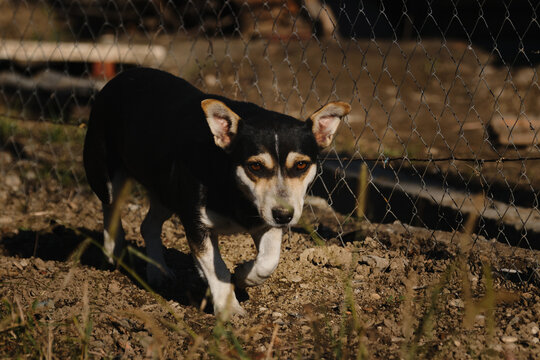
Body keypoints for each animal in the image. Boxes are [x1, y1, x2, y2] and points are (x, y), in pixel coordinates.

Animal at [84, 67, 350, 318]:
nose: (284, 216)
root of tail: (124, 75)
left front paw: (243, 275)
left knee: (148, 225)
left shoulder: (265, 221)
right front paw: (229, 307)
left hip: (167, 193)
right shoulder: (196, 225)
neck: (234, 188)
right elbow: (217, 268)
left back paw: (158, 272)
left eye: (301, 165)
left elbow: (268, 261)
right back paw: (112, 249)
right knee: (110, 207)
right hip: (107, 174)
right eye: (255, 166)